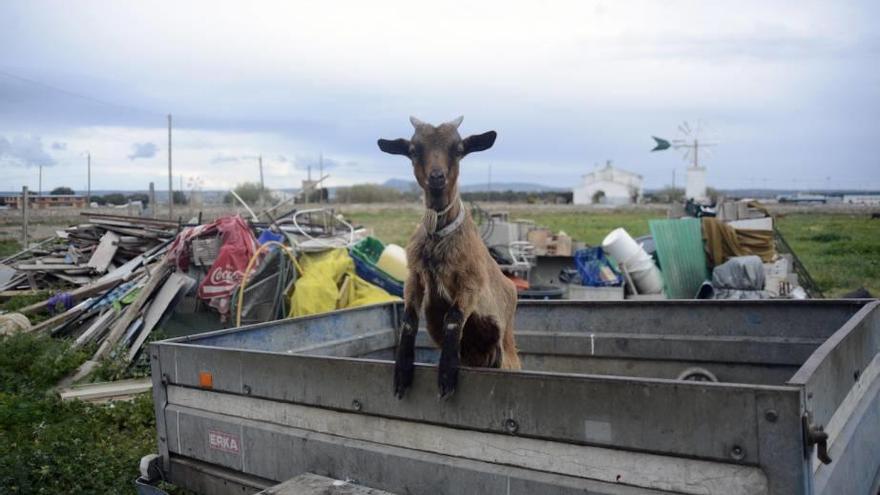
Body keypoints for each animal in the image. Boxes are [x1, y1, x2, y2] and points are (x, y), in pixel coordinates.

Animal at [374, 116, 520, 400]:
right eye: (413, 150)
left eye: (459, 149)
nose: (437, 177)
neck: (438, 236)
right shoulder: (414, 276)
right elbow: (409, 321)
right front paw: (402, 371)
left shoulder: (472, 282)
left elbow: (453, 319)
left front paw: (446, 375)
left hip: (507, 355)